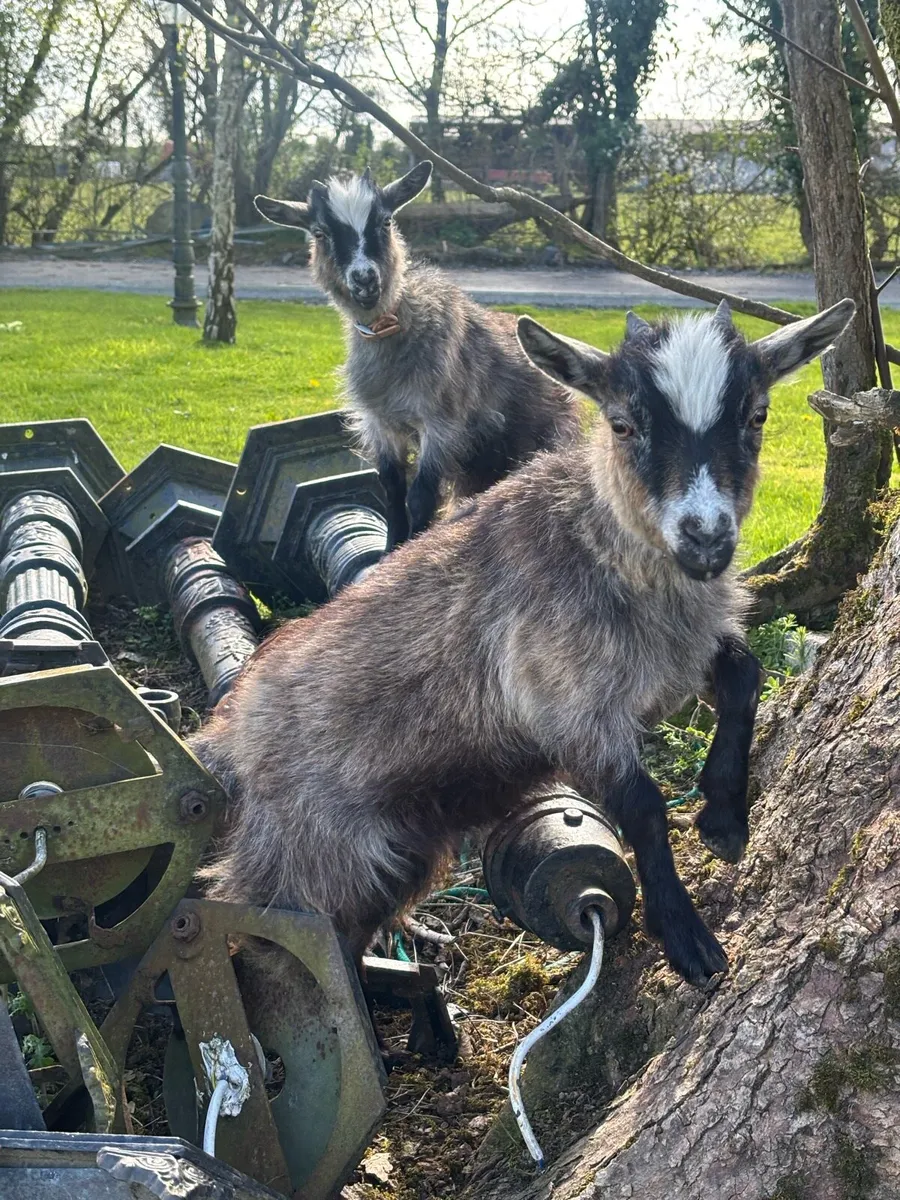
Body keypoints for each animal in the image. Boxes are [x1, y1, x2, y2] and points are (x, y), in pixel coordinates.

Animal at [191, 297, 855, 986]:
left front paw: (724, 820)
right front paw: (685, 938)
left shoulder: (676, 659)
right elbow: (643, 806)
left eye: (757, 415)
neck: (599, 547)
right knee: (274, 945)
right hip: (309, 857)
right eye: (621, 424)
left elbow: (745, 673)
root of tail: (223, 736)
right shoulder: (569, 707)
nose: (705, 539)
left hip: (397, 850)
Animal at [254, 162, 579, 548]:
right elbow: (393, 491)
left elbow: (420, 496)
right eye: (320, 233)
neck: (395, 328)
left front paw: (410, 548)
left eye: (385, 221)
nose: (365, 279)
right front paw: (390, 548)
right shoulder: (379, 424)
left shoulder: (440, 423)